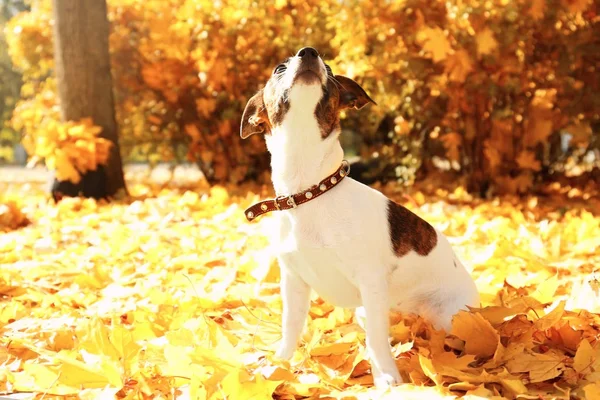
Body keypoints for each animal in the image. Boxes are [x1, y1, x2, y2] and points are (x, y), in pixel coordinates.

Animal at [239, 47, 478, 388]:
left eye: (329, 68)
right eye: (278, 69)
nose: (309, 52)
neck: (309, 191)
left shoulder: (371, 280)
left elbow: (377, 340)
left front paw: (388, 378)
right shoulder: (294, 282)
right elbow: (291, 326)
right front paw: (278, 365)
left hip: (450, 319)